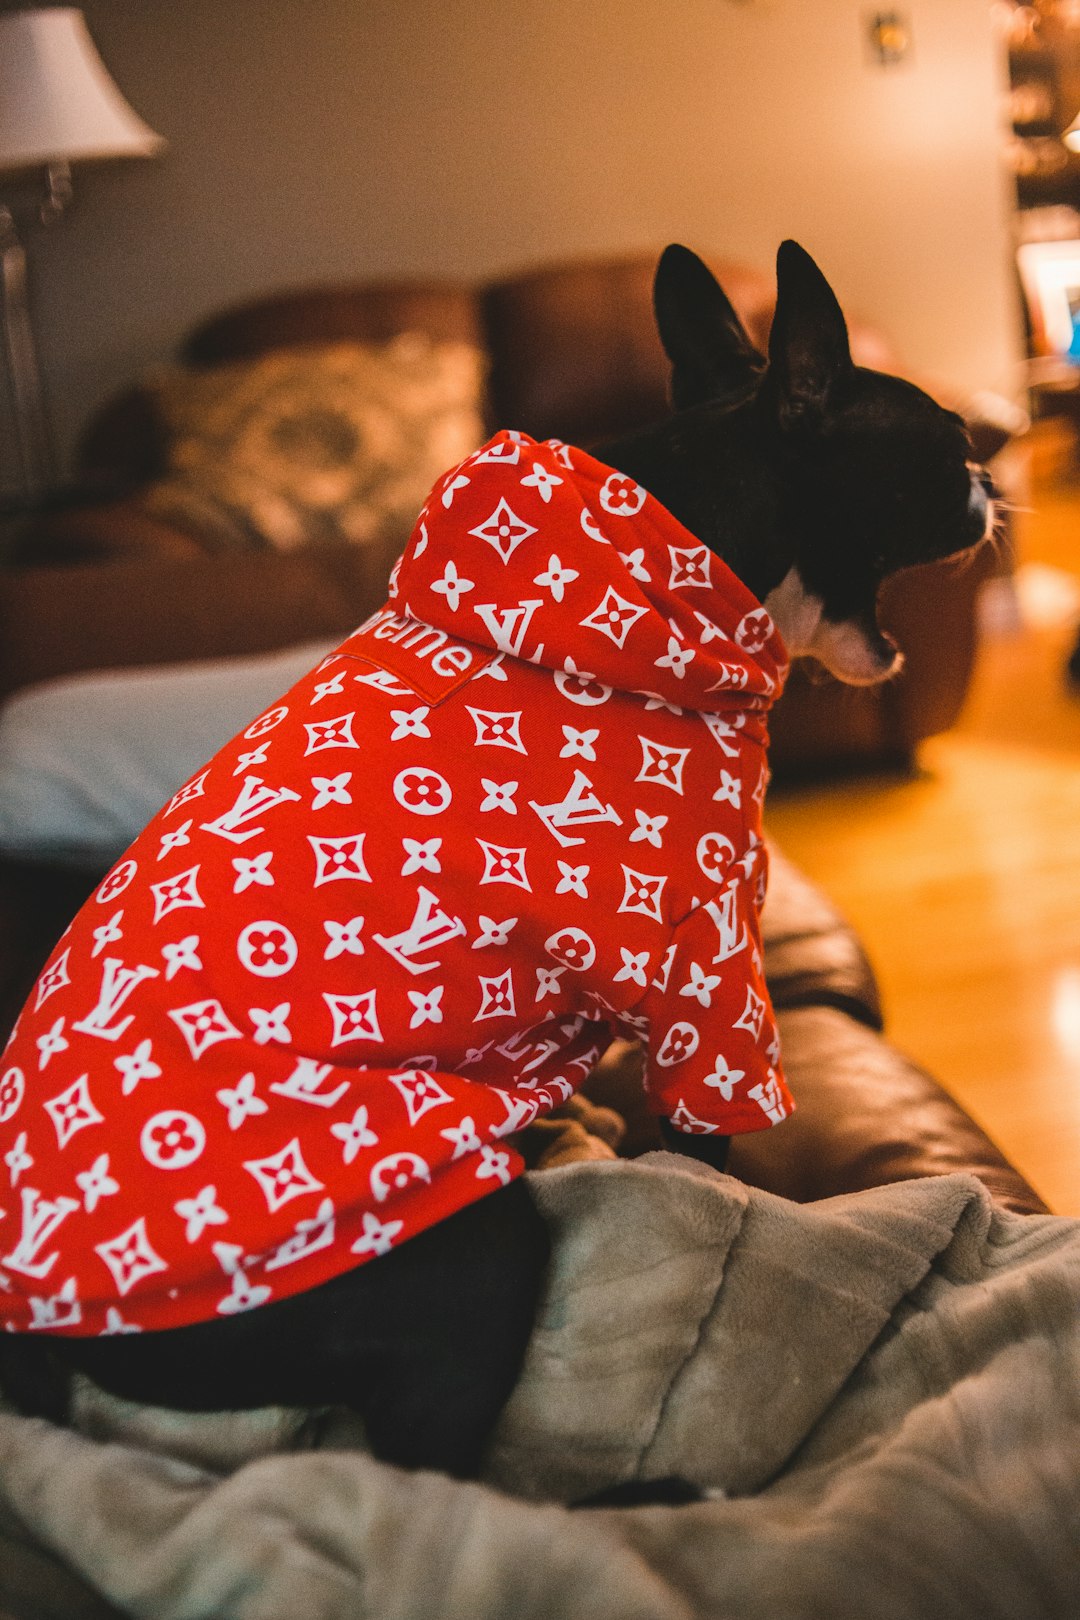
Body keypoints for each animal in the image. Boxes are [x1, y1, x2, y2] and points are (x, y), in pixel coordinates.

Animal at [0, 243, 997, 1483]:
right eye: (945, 447)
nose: (991, 469)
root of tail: (40, 1329)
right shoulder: (710, 982)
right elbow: (713, 1155)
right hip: (468, 1252)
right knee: (416, 1476)